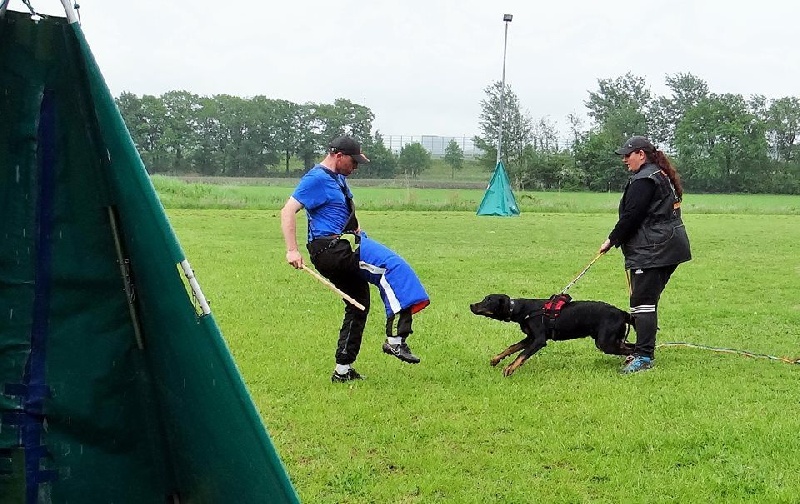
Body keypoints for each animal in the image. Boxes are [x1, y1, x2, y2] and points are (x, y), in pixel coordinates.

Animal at [468, 294, 632, 376]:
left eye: (488, 300)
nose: (471, 305)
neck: (521, 310)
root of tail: (622, 313)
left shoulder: (539, 340)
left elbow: (522, 354)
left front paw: (509, 368)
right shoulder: (530, 338)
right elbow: (512, 347)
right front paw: (496, 359)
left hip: (605, 343)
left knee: (634, 349)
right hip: (612, 340)